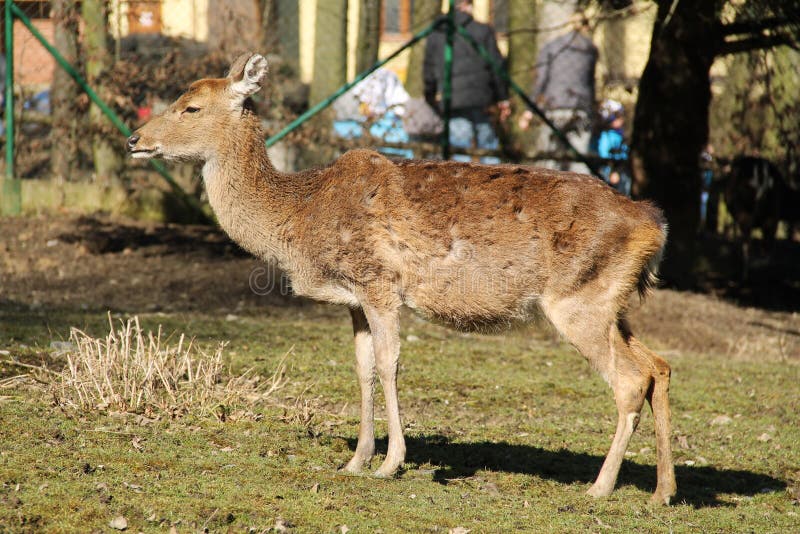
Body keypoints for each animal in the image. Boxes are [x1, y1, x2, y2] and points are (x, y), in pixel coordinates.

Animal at [127, 53, 677, 504]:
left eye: (191, 107)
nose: (134, 139)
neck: (299, 220)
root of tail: (656, 226)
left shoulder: (380, 282)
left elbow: (391, 364)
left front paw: (390, 464)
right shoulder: (354, 298)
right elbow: (363, 368)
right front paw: (355, 460)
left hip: (578, 300)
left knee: (630, 380)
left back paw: (600, 487)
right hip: (612, 302)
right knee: (658, 365)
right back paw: (663, 491)